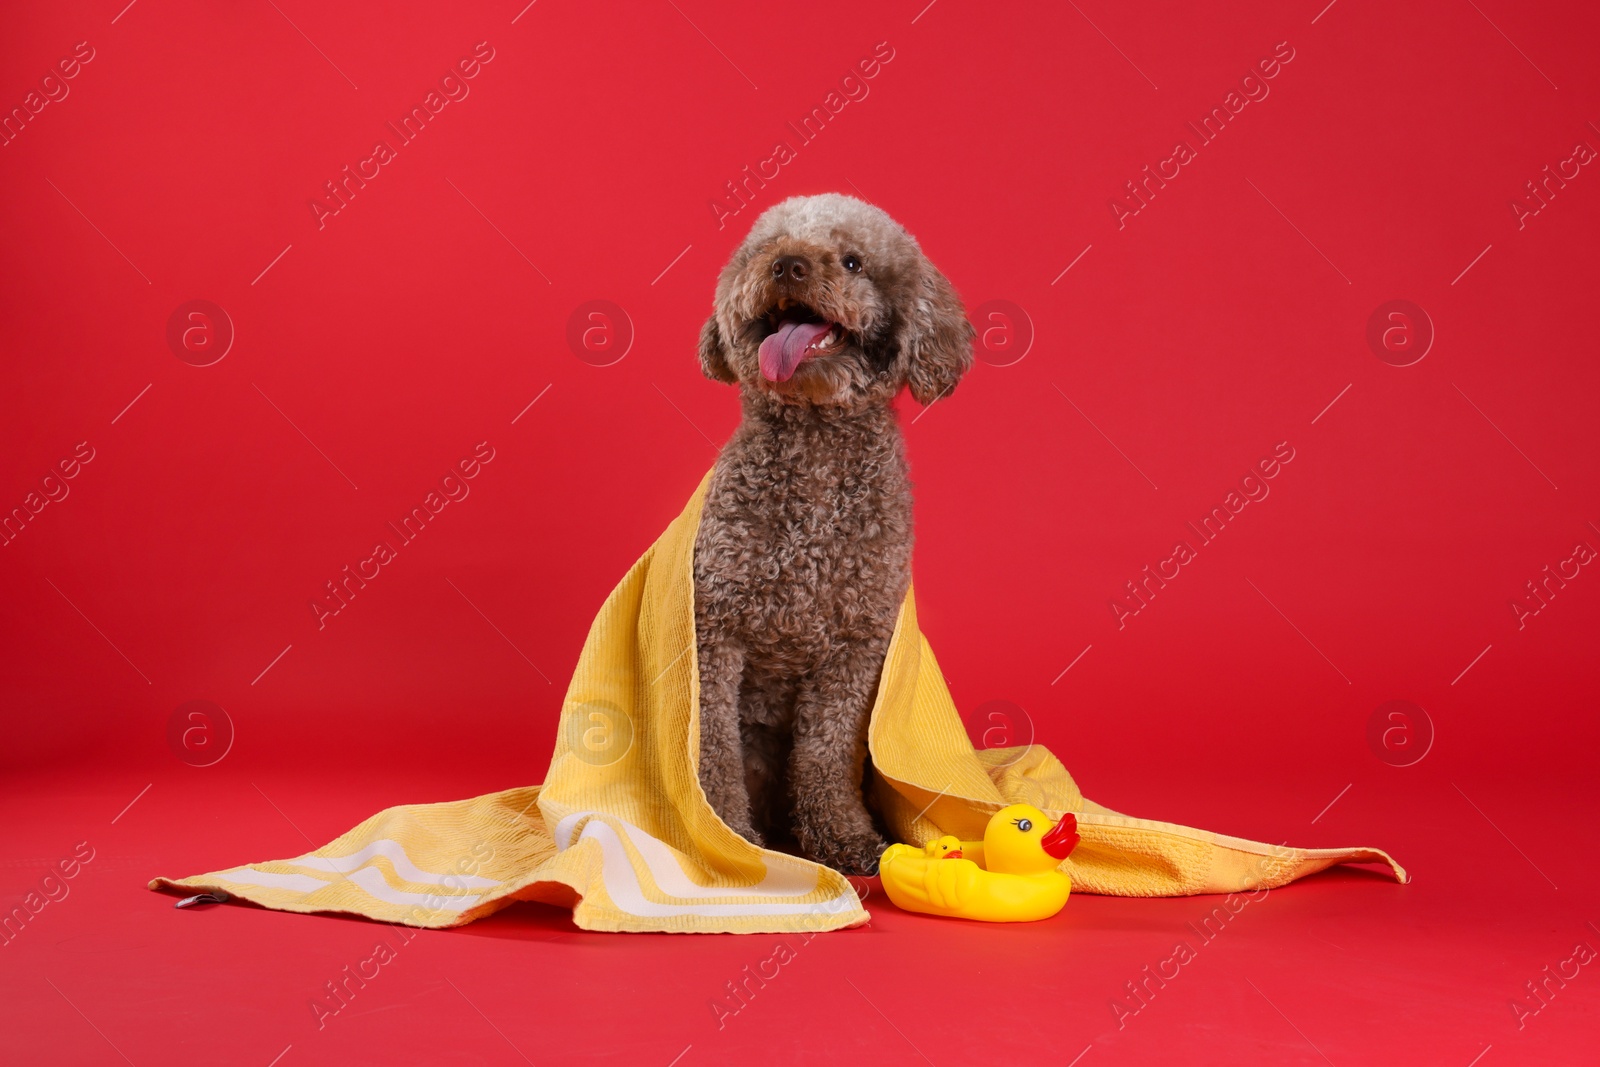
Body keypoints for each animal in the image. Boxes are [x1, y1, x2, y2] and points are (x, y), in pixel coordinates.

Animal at [691, 191, 966, 876]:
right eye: (766, 248)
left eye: (852, 261)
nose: (787, 265)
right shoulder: (715, 630)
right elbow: (712, 751)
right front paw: (723, 835)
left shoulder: (856, 647)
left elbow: (827, 754)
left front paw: (842, 836)